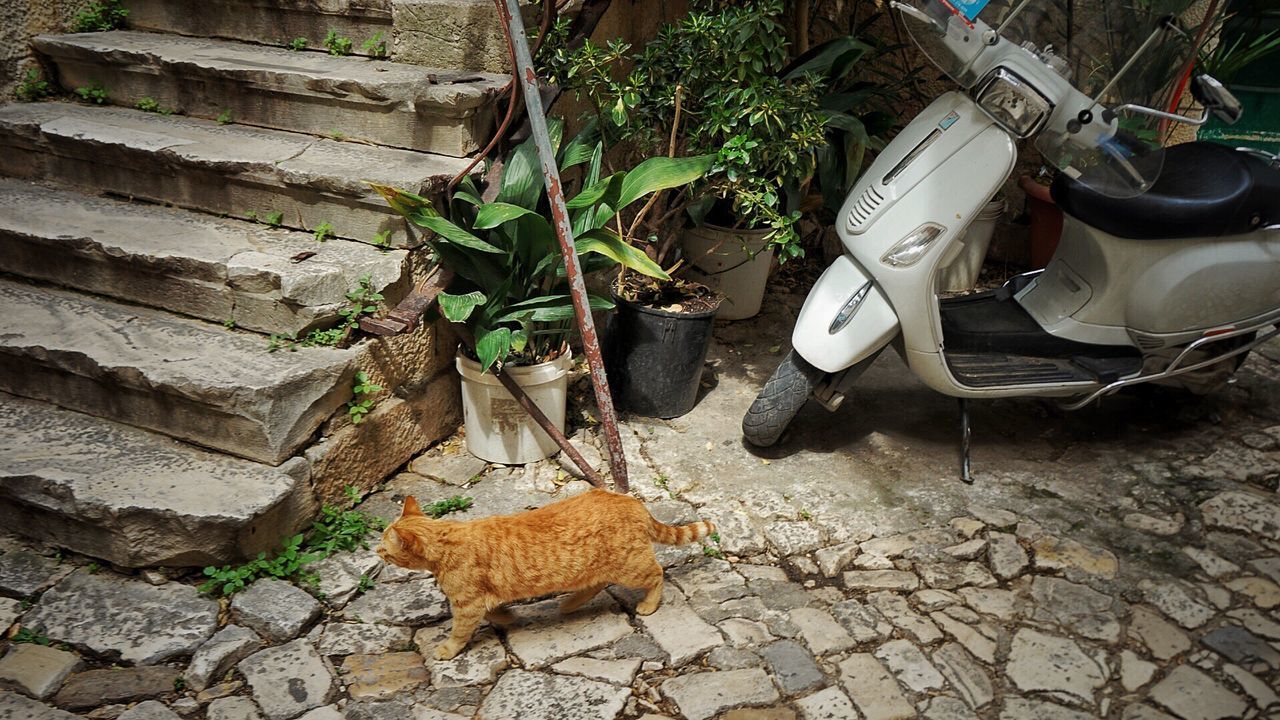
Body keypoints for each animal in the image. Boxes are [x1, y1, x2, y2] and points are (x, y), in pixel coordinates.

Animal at [376, 486, 721, 655]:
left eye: (384, 546)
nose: (375, 551)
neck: (447, 539)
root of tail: (629, 499)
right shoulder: (479, 599)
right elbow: (494, 610)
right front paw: (507, 618)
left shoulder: (467, 605)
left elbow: (459, 632)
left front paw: (447, 650)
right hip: (594, 566)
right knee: (596, 583)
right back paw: (568, 604)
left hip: (629, 567)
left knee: (657, 574)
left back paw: (648, 604)